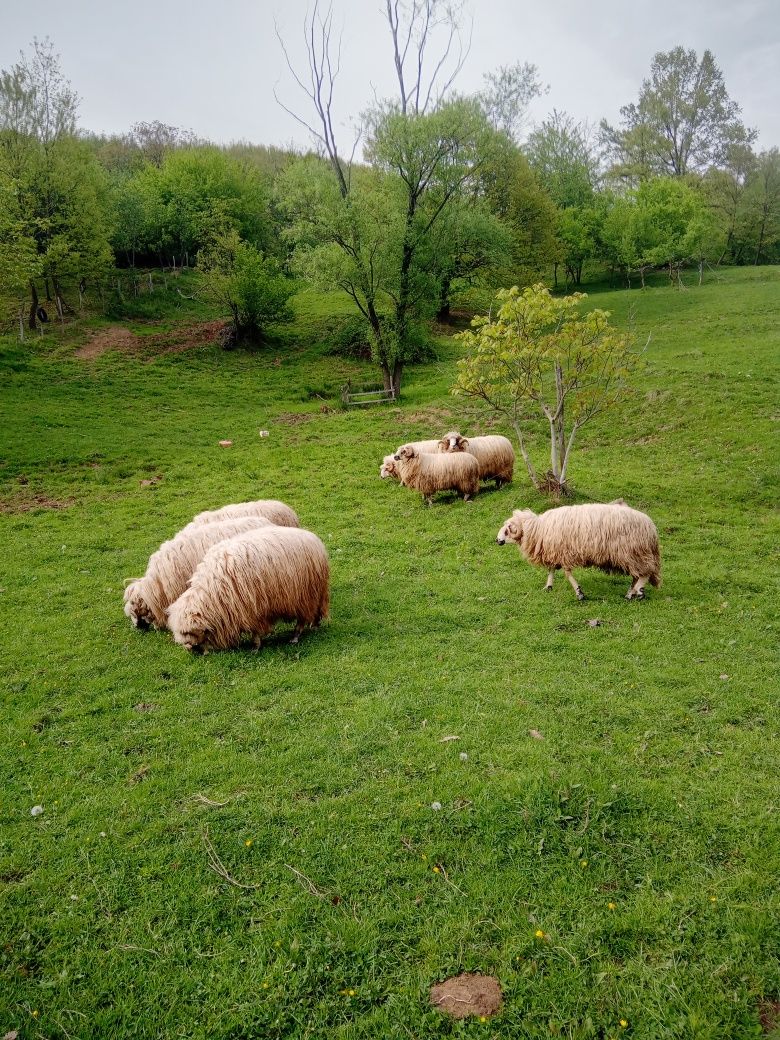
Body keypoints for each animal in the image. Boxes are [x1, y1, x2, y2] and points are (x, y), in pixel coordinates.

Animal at [168, 524, 330, 653]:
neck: (213, 596)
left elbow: (256, 631)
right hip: (315, 592)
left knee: (303, 618)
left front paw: (255, 647)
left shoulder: (253, 609)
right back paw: (315, 625)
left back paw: (295, 637)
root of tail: (314, 539)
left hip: (305, 594)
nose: (191, 651)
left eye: (189, 634)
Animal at [497, 503, 661, 603]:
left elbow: (568, 574)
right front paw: (549, 586)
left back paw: (639, 592)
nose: (497, 540)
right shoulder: (555, 553)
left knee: (645, 573)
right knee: (637, 575)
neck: (538, 529)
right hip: (633, 555)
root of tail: (651, 528)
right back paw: (630, 593)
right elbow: (551, 570)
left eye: (507, 530)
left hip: (633, 552)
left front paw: (579, 593)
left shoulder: (564, 554)